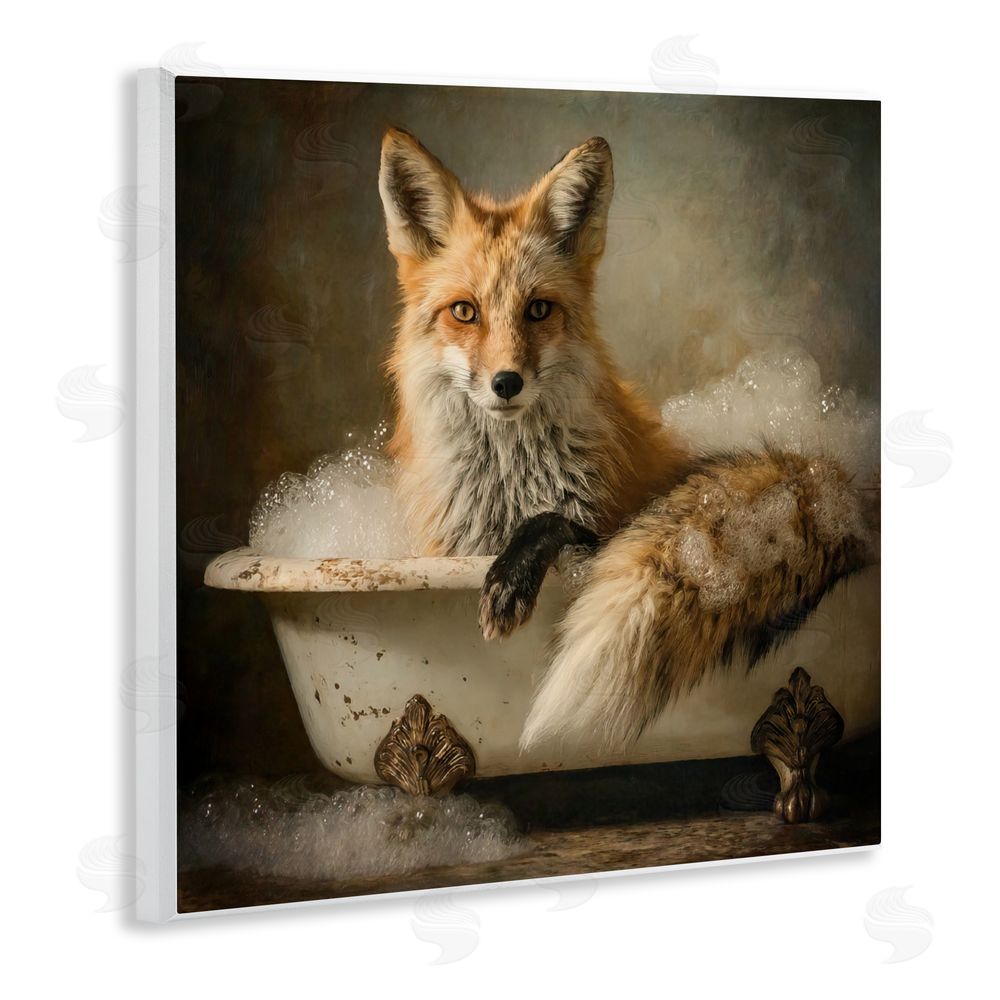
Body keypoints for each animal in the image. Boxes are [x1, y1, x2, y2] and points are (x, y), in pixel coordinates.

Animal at [377, 127, 874, 750]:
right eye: (464, 312)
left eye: (539, 309)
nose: (507, 383)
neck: (510, 488)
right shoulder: (444, 551)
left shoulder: (605, 519)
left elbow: (555, 520)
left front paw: (510, 578)